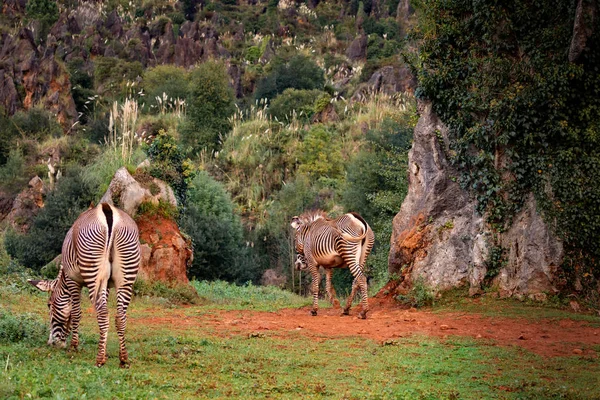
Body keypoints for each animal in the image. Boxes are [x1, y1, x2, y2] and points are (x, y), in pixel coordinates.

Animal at [28, 203, 141, 368]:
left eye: (49, 305)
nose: (51, 344)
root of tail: (107, 209)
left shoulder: (73, 281)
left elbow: (76, 313)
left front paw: (74, 346)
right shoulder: (106, 285)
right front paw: (104, 348)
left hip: (92, 266)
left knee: (103, 314)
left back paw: (100, 360)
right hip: (126, 273)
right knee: (120, 316)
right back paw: (123, 359)